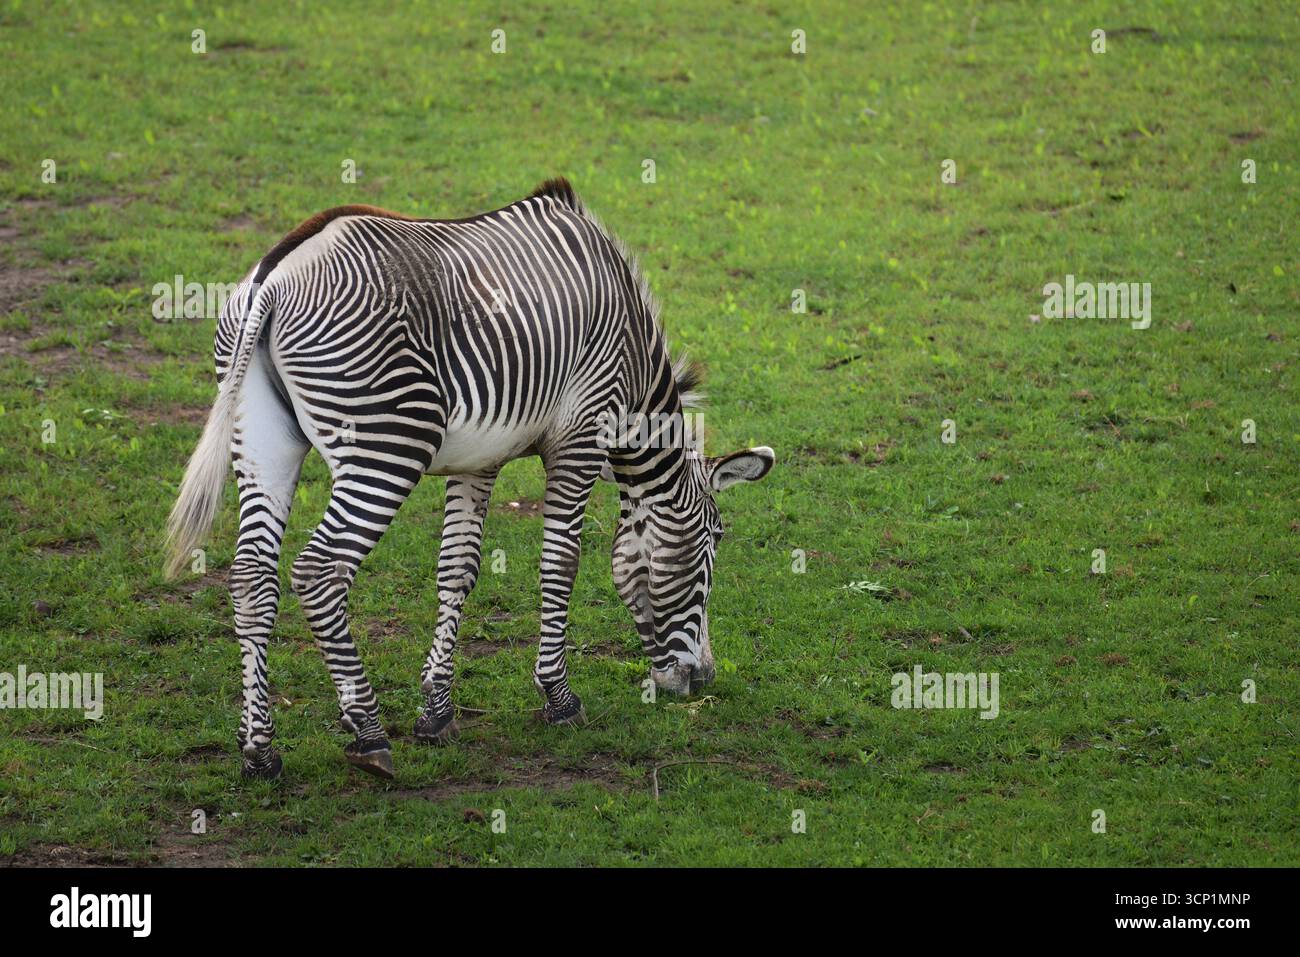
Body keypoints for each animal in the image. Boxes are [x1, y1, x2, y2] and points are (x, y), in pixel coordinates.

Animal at [165, 178, 775, 780]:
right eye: (713, 541)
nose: (701, 680)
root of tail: (273, 278)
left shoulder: (481, 459)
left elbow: (456, 571)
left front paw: (436, 712)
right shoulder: (580, 437)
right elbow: (561, 565)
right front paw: (558, 697)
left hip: (263, 441)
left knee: (252, 577)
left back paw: (259, 750)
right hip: (387, 445)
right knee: (319, 571)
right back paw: (368, 732)